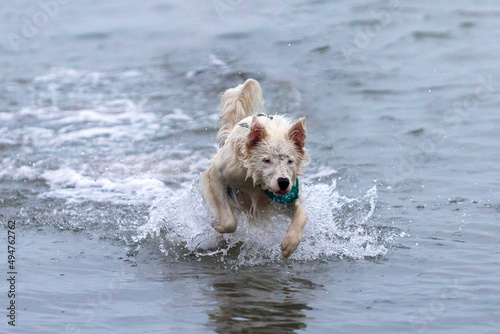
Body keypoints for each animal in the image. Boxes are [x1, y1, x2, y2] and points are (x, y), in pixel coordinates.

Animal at [201, 79, 306, 258]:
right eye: (266, 160)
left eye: (290, 161)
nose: (283, 182)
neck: (255, 181)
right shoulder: (218, 174)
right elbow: (229, 221)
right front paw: (218, 225)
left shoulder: (292, 192)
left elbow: (302, 213)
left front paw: (289, 244)